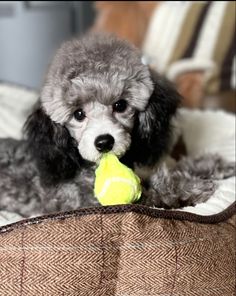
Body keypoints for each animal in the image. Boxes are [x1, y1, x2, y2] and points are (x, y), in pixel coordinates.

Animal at [0, 34, 234, 217]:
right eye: (78, 114)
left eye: (120, 105)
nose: (104, 142)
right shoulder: (88, 201)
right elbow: (150, 193)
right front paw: (188, 187)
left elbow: (176, 167)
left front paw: (210, 165)